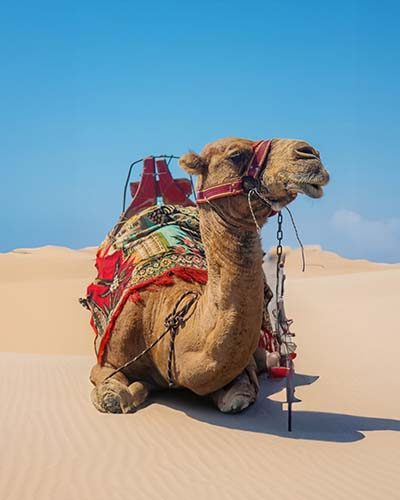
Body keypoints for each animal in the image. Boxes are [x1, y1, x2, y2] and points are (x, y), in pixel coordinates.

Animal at [89, 137, 330, 414]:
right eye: (235, 155)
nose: (309, 153)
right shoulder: (106, 362)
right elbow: (111, 396)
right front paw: (133, 391)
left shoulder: (241, 372)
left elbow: (236, 398)